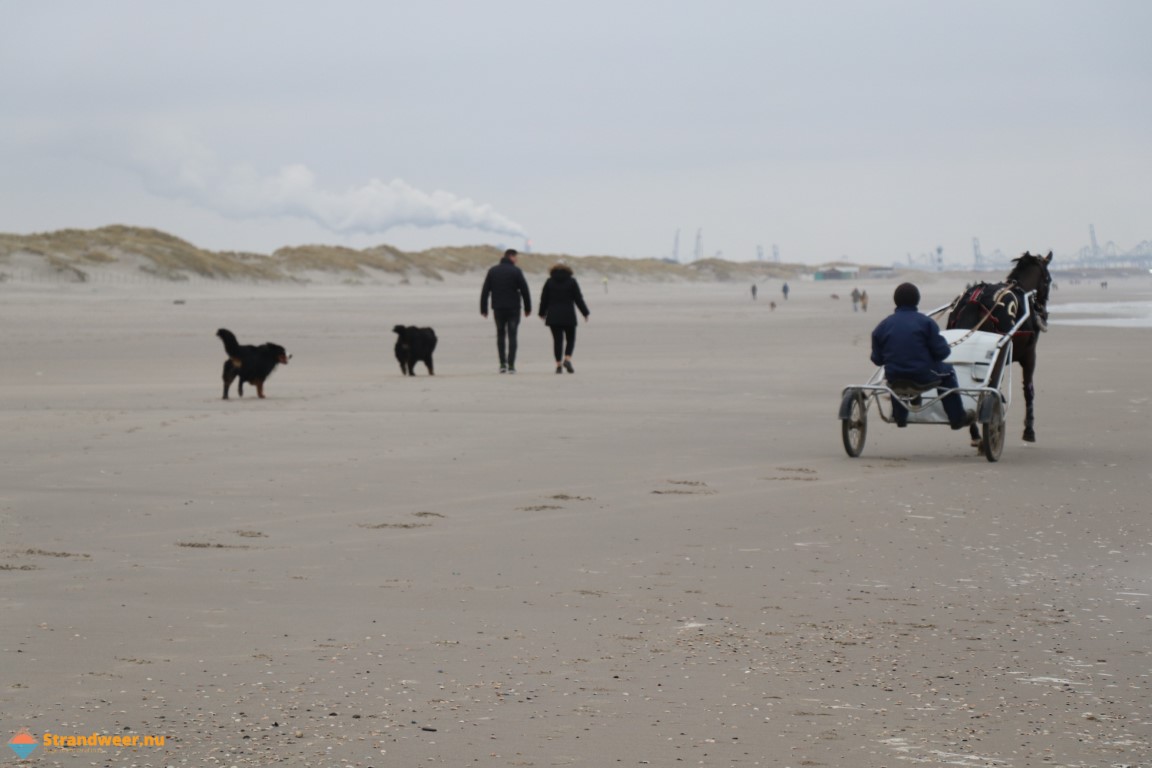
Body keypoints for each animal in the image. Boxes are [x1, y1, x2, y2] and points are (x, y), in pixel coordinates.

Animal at [944, 251, 1055, 442]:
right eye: (1048, 280)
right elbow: (1028, 390)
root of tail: (975, 300)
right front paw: (1029, 430)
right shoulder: (1029, 355)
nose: (1043, 312)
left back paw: (975, 431)